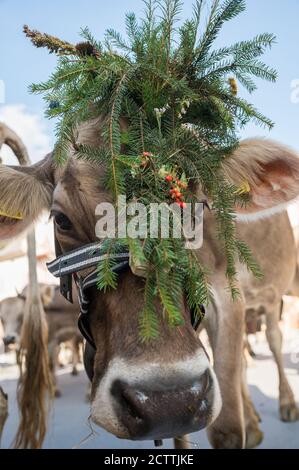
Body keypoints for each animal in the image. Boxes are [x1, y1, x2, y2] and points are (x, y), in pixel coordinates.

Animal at [0, 117, 299, 448]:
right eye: (61, 220)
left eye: (197, 208)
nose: (166, 401)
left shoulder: (228, 297)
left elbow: (227, 428)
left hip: (274, 296)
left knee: (273, 339)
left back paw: (285, 405)